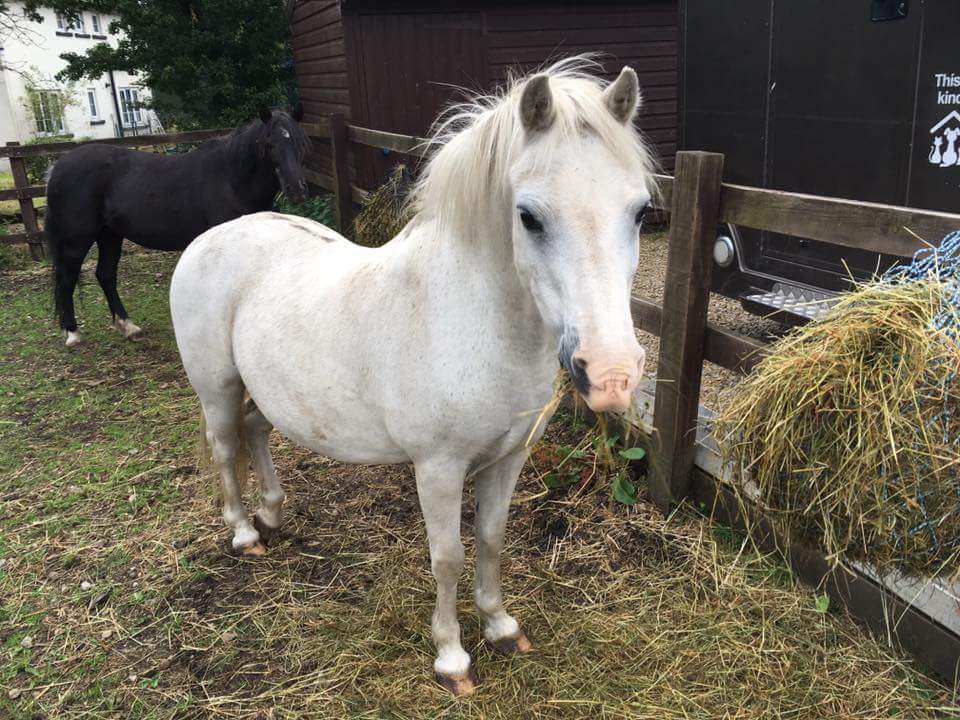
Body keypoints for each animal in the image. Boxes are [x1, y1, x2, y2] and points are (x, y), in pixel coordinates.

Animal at [45, 105, 311, 347]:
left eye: (300, 142)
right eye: (269, 143)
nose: (296, 189)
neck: (232, 179)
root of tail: (58, 168)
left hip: (109, 234)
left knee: (105, 274)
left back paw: (128, 326)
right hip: (77, 239)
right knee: (67, 279)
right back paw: (73, 334)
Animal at [170, 59, 656, 695]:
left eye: (641, 212)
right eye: (528, 217)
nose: (611, 374)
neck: (469, 318)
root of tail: (209, 239)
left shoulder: (509, 457)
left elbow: (492, 539)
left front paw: (501, 626)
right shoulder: (439, 468)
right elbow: (447, 557)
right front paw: (452, 658)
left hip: (267, 394)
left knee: (255, 432)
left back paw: (273, 515)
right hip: (218, 389)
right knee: (226, 447)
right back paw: (245, 535)